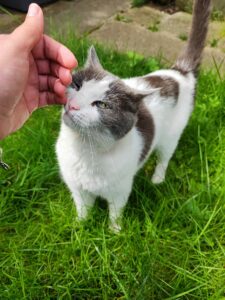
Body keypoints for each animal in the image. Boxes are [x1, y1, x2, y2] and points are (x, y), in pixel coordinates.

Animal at [55, 0, 212, 232]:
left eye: (102, 104)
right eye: (77, 85)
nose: (72, 105)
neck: (84, 149)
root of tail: (180, 72)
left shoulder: (119, 191)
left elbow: (115, 214)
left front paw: (114, 233)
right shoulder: (78, 189)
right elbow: (83, 210)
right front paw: (79, 228)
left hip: (171, 137)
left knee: (164, 157)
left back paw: (157, 179)